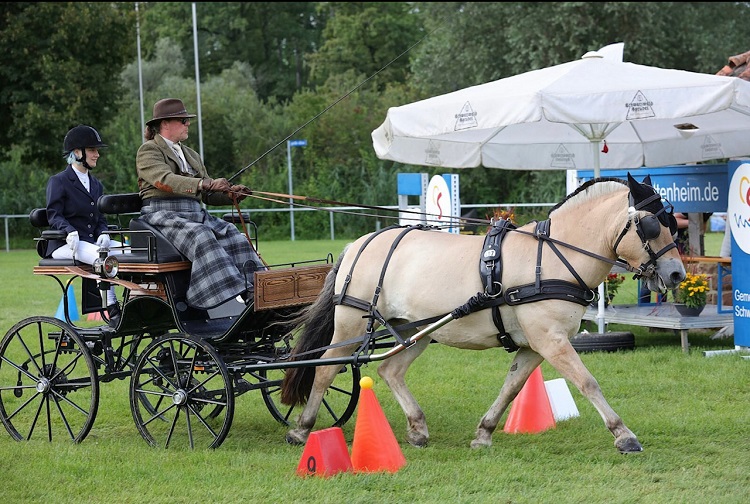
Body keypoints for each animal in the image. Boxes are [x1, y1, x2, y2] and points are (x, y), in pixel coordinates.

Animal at [280, 173, 684, 452]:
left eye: (672, 223)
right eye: (651, 225)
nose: (677, 274)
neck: (554, 256)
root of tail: (359, 244)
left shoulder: (533, 346)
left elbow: (512, 388)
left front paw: (484, 433)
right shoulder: (551, 341)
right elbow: (587, 382)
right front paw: (623, 435)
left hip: (412, 330)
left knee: (389, 370)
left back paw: (417, 428)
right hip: (352, 322)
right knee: (325, 370)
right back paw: (302, 428)